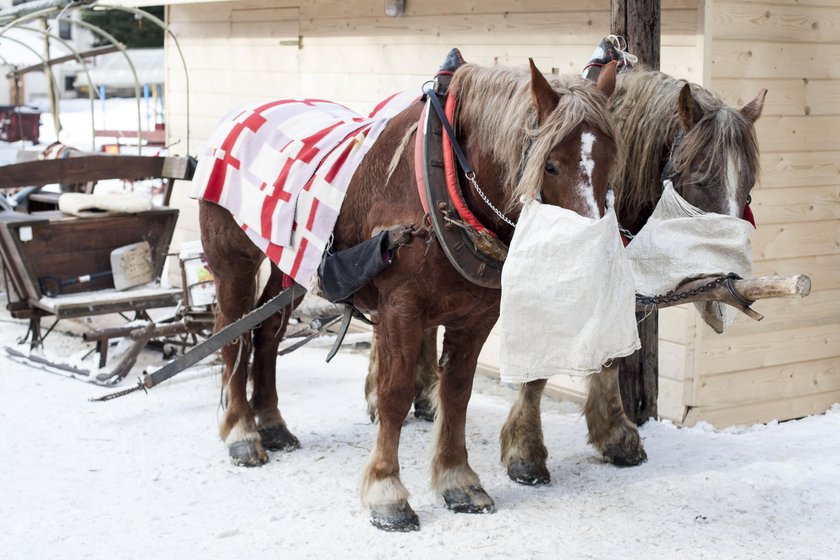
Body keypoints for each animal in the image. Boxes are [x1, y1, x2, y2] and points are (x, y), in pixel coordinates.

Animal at [200, 59, 620, 532]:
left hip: (294, 264)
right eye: (550, 165)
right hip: (234, 259)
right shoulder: (402, 308)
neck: (448, 190)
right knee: (233, 336)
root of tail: (239, 115)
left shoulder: (477, 316)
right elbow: (395, 393)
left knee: (268, 329)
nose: (593, 254)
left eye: (611, 159)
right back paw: (242, 432)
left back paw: (271, 422)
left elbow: (456, 393)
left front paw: (458, 480)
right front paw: (387, 492)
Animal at [364, 66, 764, 486]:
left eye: (749, 189)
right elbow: (539, 369)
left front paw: (614, 433)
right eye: (700, 178)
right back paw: (380, 394)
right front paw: (525, 450)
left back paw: (425, 397)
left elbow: (612, 357)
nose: (728, 281)